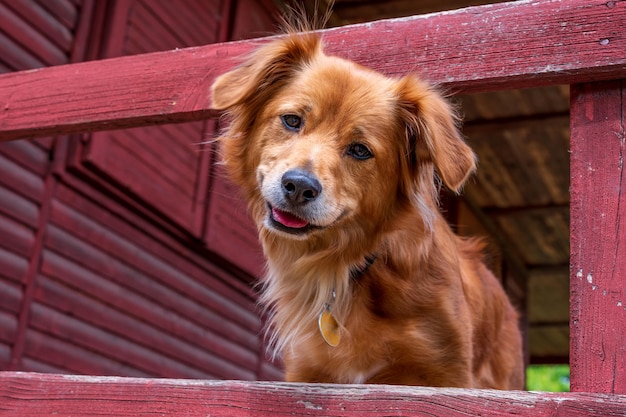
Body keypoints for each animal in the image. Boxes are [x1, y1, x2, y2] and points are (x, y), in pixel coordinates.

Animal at [210, 27, 520, 388]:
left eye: (360, 150)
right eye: (291, 120)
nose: (299, 186)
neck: (352, 268)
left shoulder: (448, 376)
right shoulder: (306, 372)